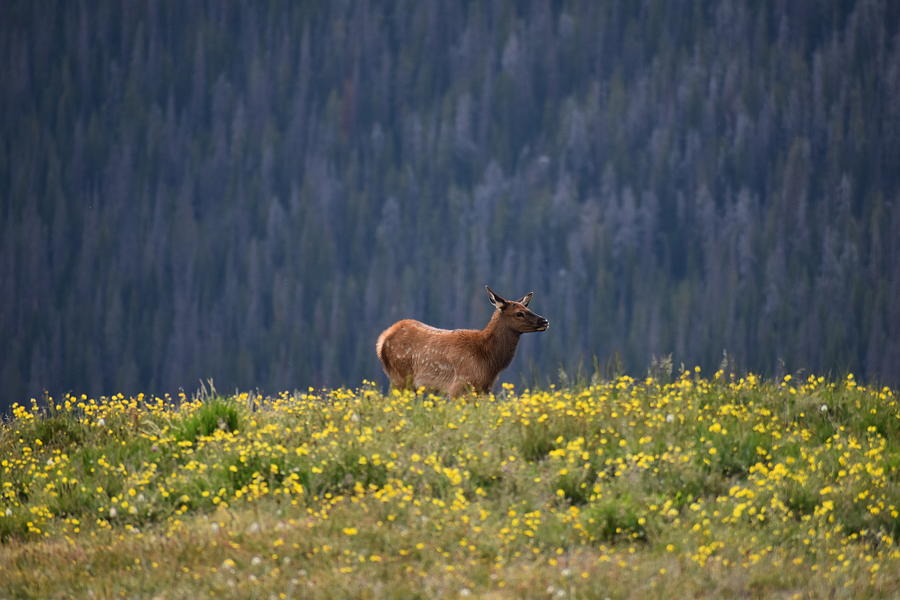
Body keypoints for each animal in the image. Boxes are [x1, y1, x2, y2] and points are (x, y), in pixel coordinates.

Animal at [374, 288, 548, 398]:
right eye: (519, 313)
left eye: (528, 309)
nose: (544, 321)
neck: (489, 362)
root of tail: (381, 340)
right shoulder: (459, 385)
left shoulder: (484, 389)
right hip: (401, 377)